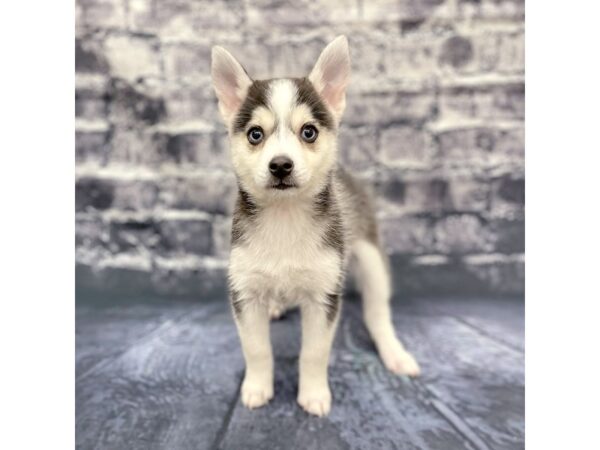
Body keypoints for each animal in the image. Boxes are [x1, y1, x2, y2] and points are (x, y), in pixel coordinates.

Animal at [213, 36, 420, 418]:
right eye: (255, 134)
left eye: (308, 132)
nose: (281, 165)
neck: (285, 218)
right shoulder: (245, 293)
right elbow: (257, 349)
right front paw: (257, 387)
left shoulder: (324, 296)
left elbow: (314, 352)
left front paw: (313, 394)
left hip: (370, 258)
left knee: (378, 314)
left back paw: (394, 352)